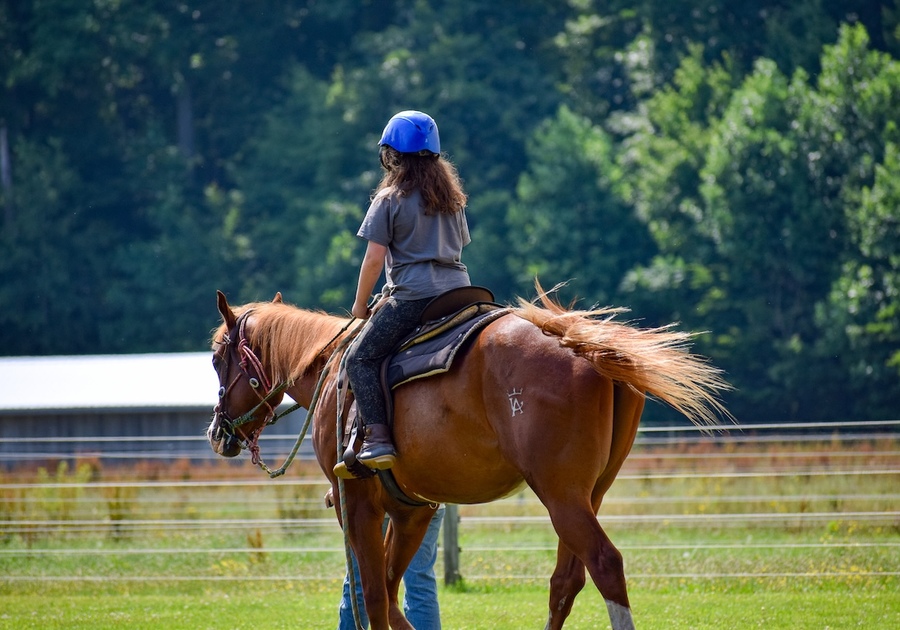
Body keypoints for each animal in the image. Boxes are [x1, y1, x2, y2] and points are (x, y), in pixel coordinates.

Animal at [207, 288, 728, 630]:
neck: (333, 369)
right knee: (566, 581)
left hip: (561, 496)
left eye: (216, 359)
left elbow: (373, 595)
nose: (217, 432)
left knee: (605, 566)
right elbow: (390, 592)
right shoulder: (413, 510)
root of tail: (578, 342)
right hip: (587, 495)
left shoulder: (356, 501)